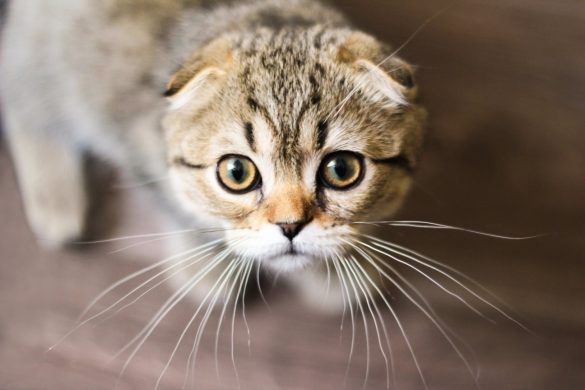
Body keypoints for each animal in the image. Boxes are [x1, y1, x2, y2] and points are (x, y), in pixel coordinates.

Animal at [2, 0, 426, 310]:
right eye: (236, 172)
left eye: (341, 169)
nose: (290, 226)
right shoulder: (131, 136)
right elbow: (178, 208)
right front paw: (206, 266)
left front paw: (338, 268)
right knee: (20, 96)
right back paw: (57, 198)